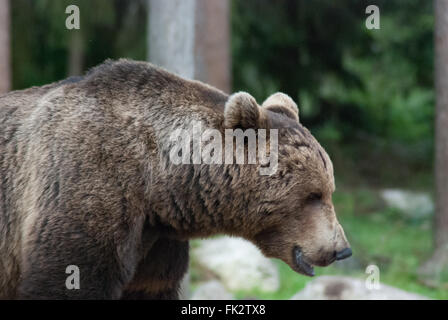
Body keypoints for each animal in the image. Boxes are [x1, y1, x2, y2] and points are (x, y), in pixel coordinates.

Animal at [0, 58, 350, 300]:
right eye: (313, 194)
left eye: (329, 190)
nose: (342, 250)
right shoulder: (86, 184)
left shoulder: (156, 244)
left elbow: (150, 286)